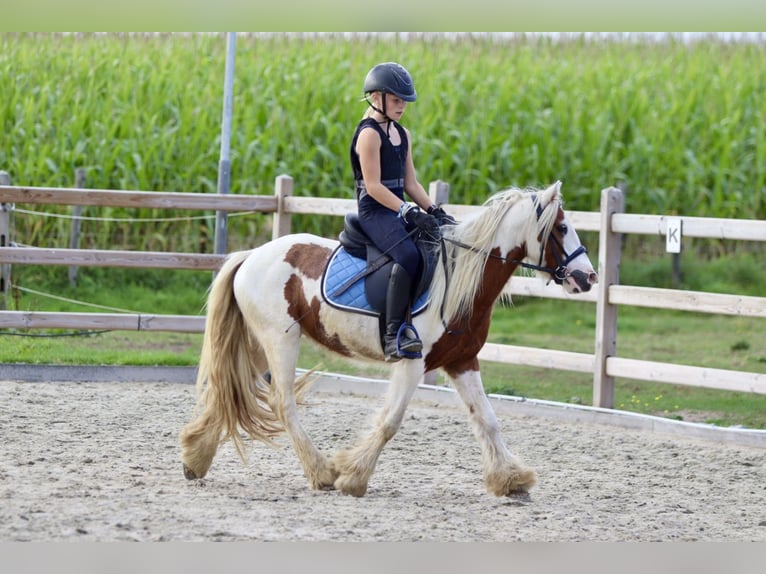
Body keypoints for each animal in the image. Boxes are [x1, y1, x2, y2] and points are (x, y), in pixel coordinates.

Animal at [180, 181, 600, 500]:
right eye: (562, 227)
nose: (589, 277)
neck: (460, 280)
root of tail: (251, 255)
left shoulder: (462, 361)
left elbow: (488, 420)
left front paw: (511, 479)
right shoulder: (413, 363)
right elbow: (390, 422)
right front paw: (353, 476)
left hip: (256, 345)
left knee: (226, 390)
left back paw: (195, 458)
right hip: (280, 342)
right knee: (282, 403)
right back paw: (321, 473)